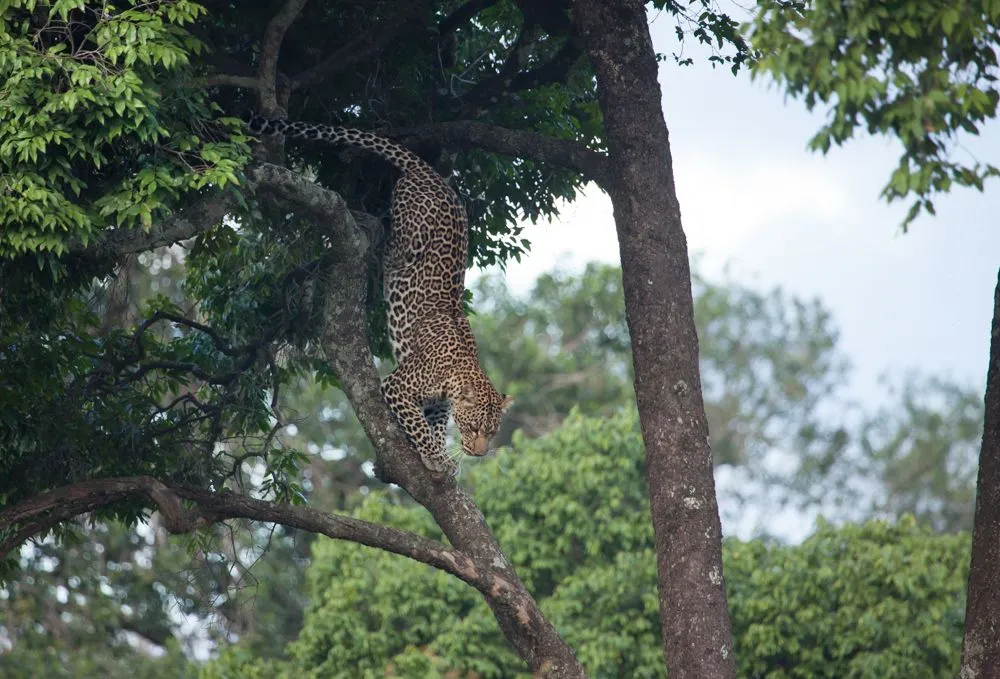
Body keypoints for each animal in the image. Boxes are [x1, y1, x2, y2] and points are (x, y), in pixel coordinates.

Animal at [245, 113, 512, 472]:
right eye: (473, 428)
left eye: (492, 432)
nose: (480, 453)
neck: (457, 372)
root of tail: (431, 175)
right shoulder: (397, 386)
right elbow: (418, 425)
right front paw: (433, 455)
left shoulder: (438, 405)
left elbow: (435, 424)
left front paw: (441, 454)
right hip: (407, 237)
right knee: (388, 239)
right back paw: (372, 232)